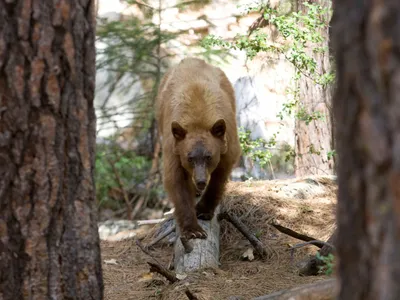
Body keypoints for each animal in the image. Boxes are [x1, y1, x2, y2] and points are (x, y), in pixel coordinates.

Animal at [155, 57, 239, 241]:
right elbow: (176, 179)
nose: (200, 181)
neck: (198, 120)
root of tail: (192, 59)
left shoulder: (227, 140)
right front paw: (193, 229)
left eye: (209, 157)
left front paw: (203, 210)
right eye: (189, 158)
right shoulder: (173, 146)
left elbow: (220, 175)